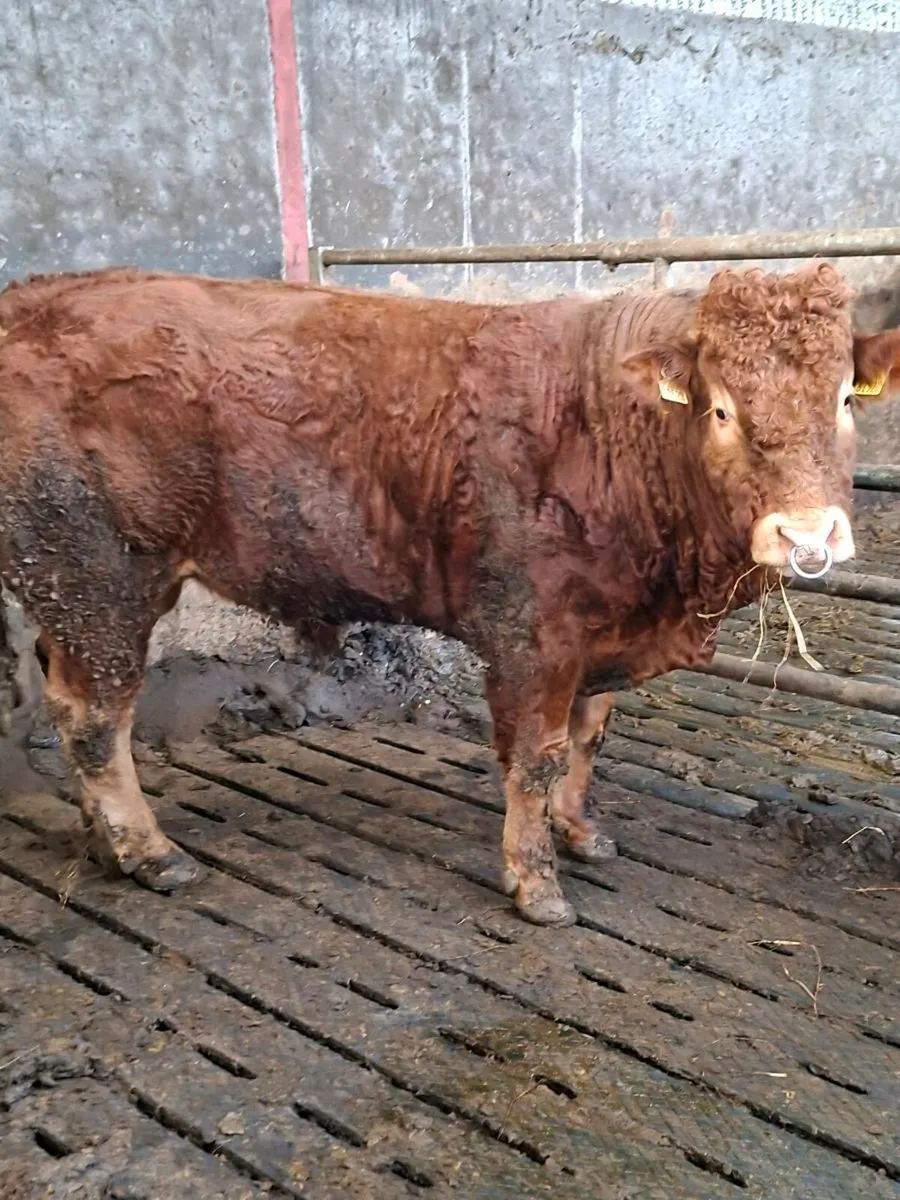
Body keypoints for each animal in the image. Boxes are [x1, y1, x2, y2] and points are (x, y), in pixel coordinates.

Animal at [0, 263, 898, 927]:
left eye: (844, 399)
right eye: (720, 410)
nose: (807, 535)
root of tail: (31, 300)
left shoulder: (601, 631)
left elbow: (587, 740)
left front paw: (582, 834)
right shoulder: (531, 633)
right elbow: (535, 759)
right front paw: (536, 884)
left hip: (71, 594)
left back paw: (101, 839)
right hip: (100, 579)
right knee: (95, 720)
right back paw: (150, 853)